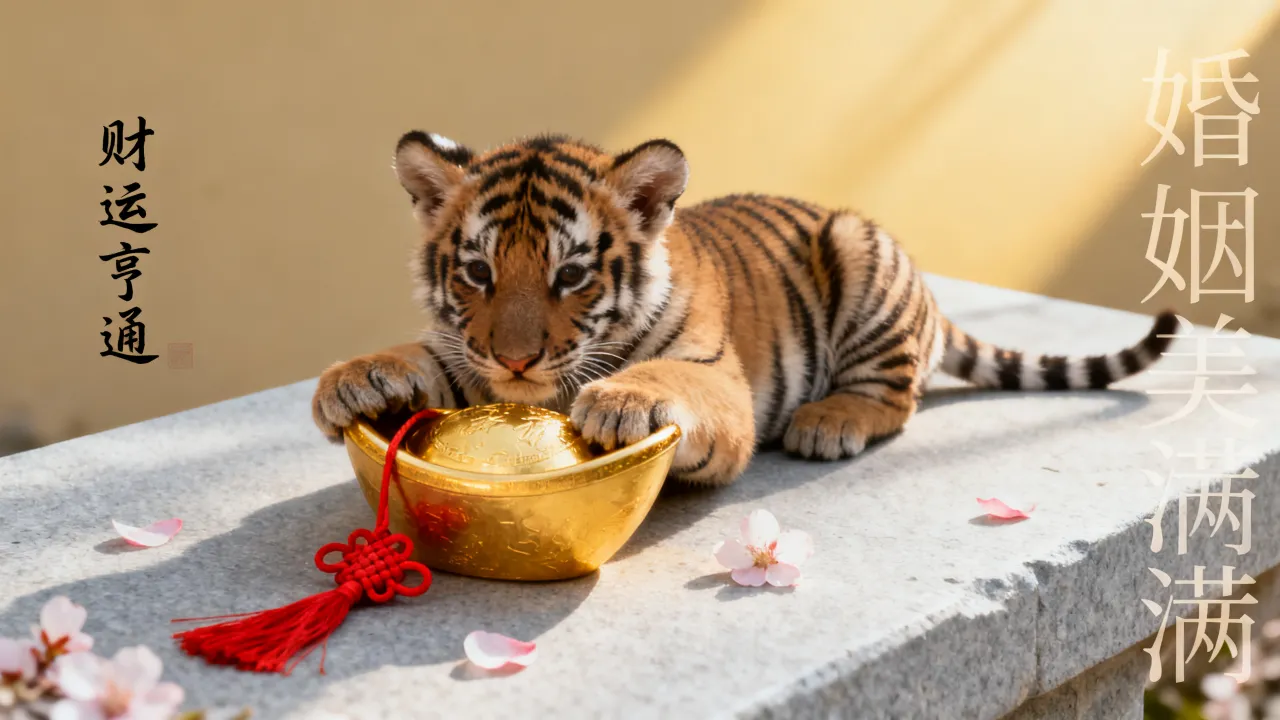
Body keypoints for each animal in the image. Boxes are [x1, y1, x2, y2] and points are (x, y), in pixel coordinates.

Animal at [311, 131, 1176, 486]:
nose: (517, 358)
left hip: (861, 250)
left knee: (897, 397)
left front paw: (624, 401)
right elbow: (431, 353)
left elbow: (672, 381)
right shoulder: (472, 354)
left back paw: (829, 422)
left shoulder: (714, 376)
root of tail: (932, 299)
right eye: (477, 272)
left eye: (572, 275)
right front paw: (352, 380)